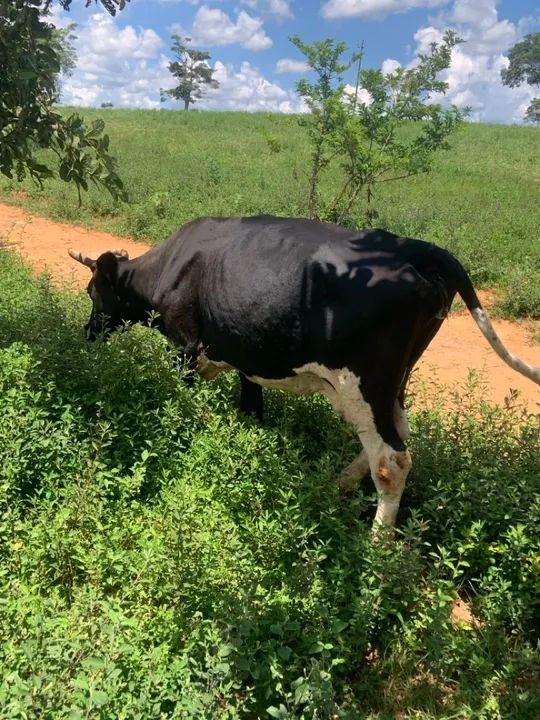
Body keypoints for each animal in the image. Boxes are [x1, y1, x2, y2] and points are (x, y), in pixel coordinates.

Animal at [69, 215, 540, 530]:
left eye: (92, 290)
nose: (87, 334)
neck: (171, 266)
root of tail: (416, 248)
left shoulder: (185, 345)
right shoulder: (247, 356)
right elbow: (251, 408)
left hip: (363, 383)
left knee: (391, 461)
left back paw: (378, 549)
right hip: (393, 383)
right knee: (398, 434)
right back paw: (339, 486)